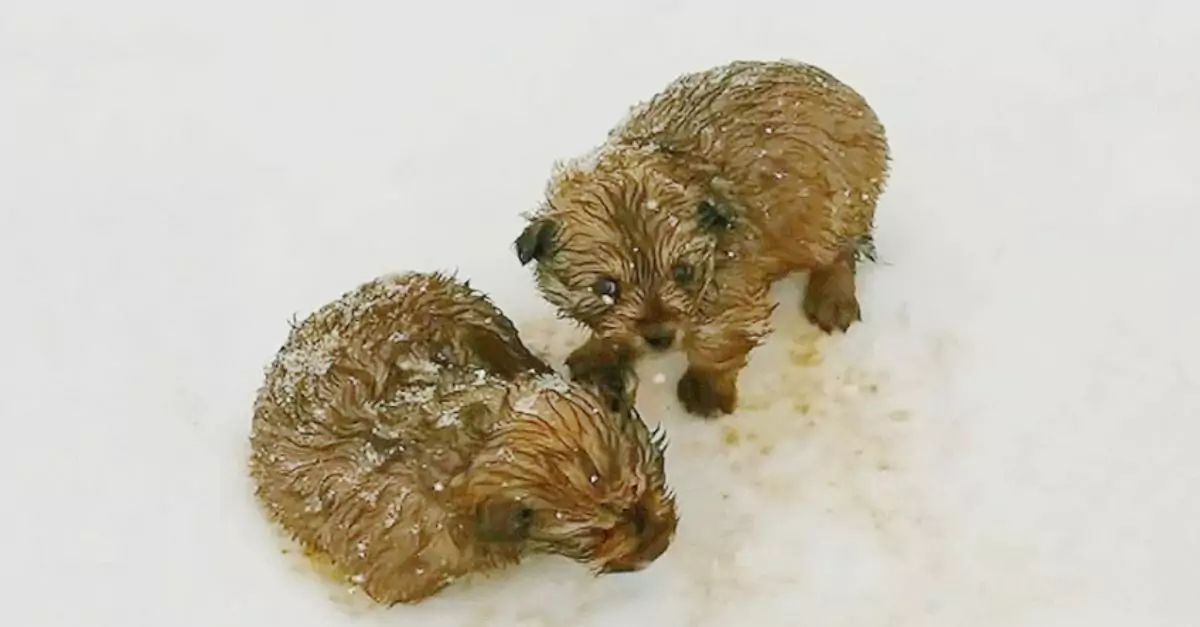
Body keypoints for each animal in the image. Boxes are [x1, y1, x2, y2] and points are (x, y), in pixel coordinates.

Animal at [516, 60, 892, 418]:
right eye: (606, 288)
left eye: (683, 272)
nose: (659, 338)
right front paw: (600, 354)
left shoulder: (733, 293)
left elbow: (719, 343)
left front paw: (705, 389)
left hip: (832, 213)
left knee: (840, 252)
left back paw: (832, 297)